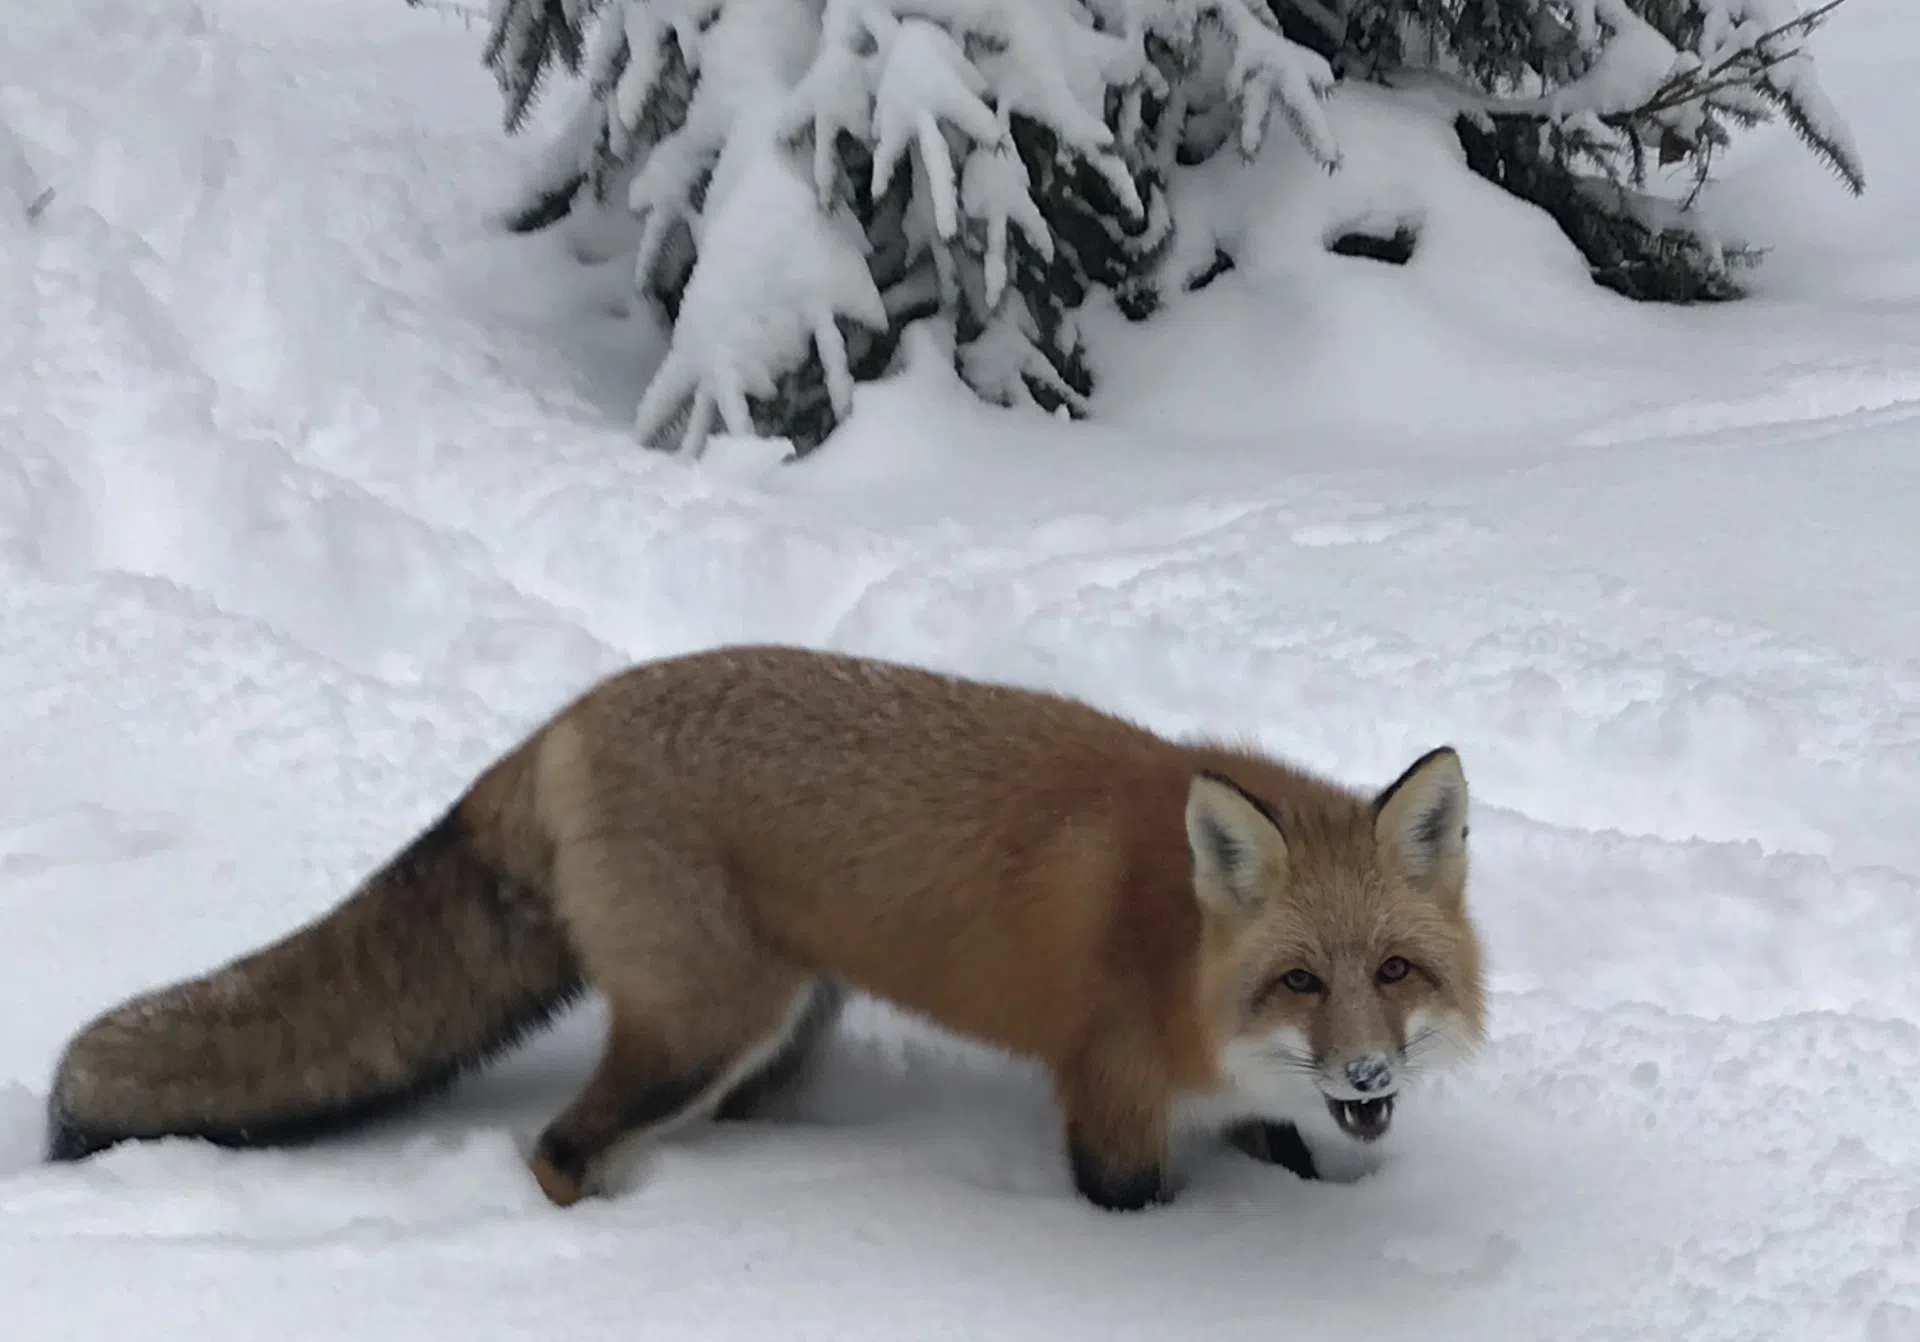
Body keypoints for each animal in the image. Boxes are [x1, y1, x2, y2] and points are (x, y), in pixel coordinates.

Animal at [45, 645, 1482, 1213]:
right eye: (1299, 981)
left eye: (1393, 970)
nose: (1370, 1071)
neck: (1179, 948)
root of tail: (570, 715)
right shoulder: (1112, 1104)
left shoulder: (1232, 1102)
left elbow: (1282, 1152)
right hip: (704, 1024)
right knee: (558, 1147)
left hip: (781, 1022)